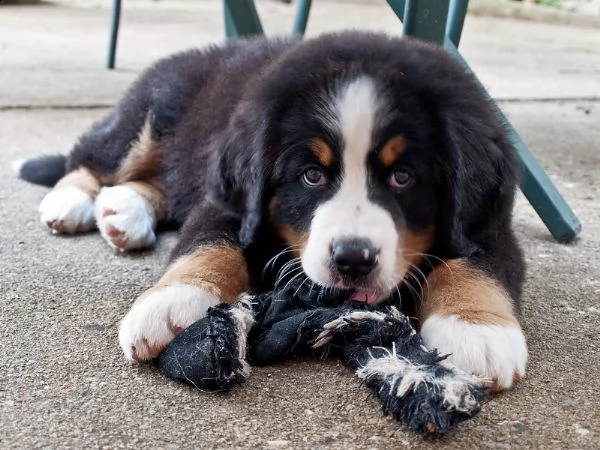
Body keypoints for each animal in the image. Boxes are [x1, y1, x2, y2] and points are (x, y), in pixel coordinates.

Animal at [16, 30, 528, 390]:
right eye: (312, 176)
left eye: (403, 177)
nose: (353, 260)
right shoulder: (228, 204)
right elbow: (208, 244)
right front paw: (172, 302)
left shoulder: (488, 223)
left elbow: (475, 265)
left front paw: (477, 330)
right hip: (151, 113)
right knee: (92, 156)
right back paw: (70, 202)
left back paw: (124, 211)